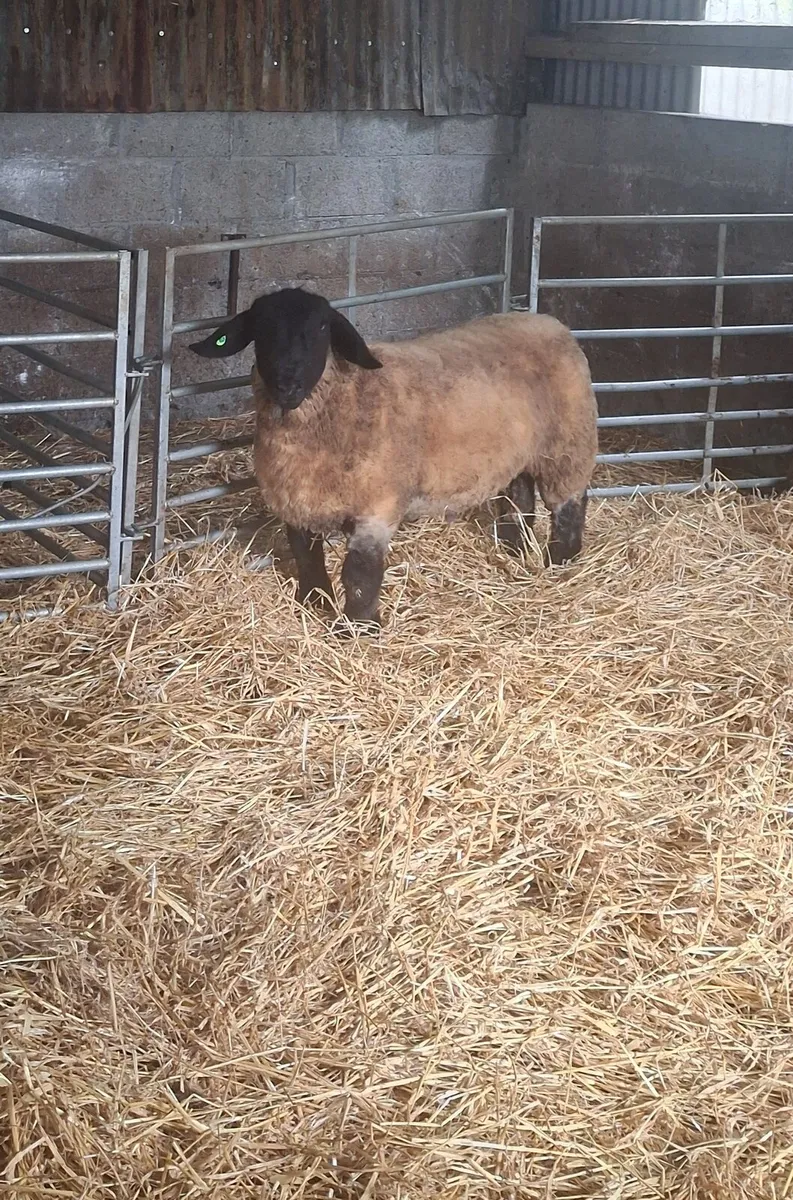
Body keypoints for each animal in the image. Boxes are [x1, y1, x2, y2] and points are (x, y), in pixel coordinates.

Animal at [190, 287, 598, 631]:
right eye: (261, 328)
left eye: (322, 327)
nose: (287, 383)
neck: (346, 398)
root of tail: (547, 320)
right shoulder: (296, 504)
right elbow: (306, 558)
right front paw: (313, 604)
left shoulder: (376, 507)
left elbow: (360, 573)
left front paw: (359, 628)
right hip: (519, 451)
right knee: (518, 497)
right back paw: (514, 549)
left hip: (568, 446)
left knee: (569, 505)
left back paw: (561, 562)